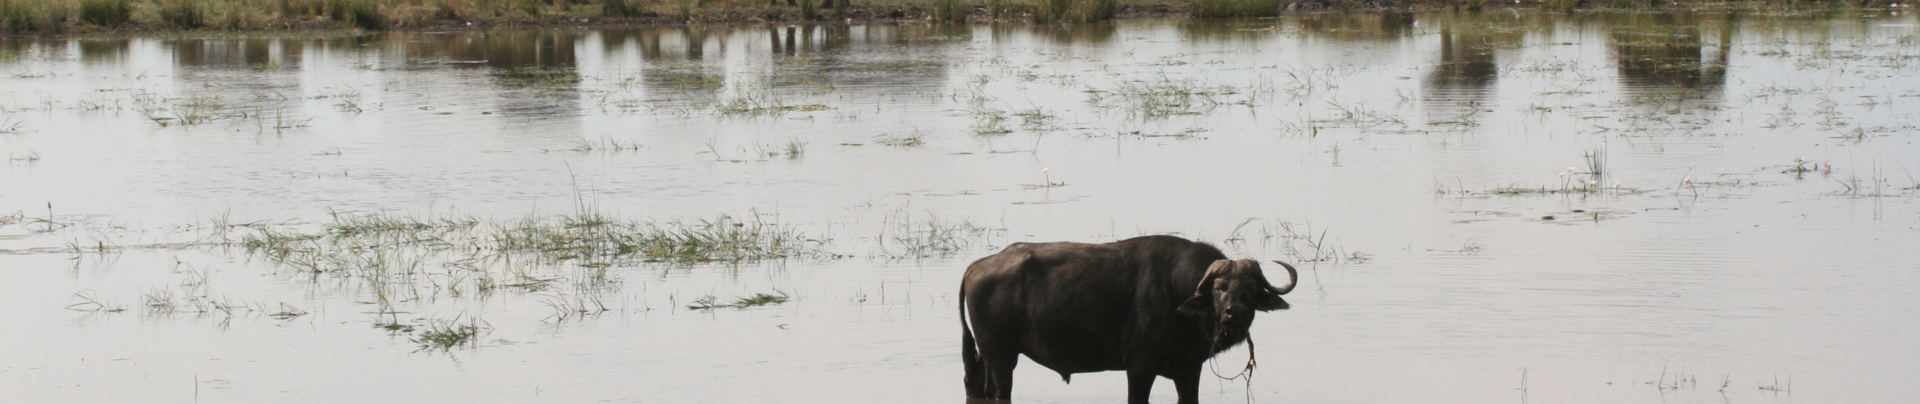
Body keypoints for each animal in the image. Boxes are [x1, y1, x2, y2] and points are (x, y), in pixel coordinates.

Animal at [959, 235, 1298, 403]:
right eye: (1219, 287)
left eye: (1251, 288)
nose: (1235, 313)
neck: (1177, 294)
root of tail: (979, 265)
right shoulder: (1139, 368)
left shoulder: (1189, 369)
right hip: (1001, 357)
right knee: (998, 392)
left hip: (984, 357)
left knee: (973, 384)